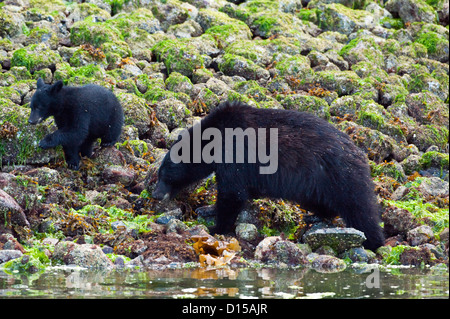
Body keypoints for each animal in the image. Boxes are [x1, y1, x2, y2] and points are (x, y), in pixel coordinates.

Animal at [153, 101, 384, 251]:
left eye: (165, 174)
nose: (155, 194)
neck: (213, 140)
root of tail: (360, 153)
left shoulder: (235, 153)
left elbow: (232, 193)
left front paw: (216, 227)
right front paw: (208, 209)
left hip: (341, 177)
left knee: (361, 211)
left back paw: (374, 243)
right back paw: (315, 216)